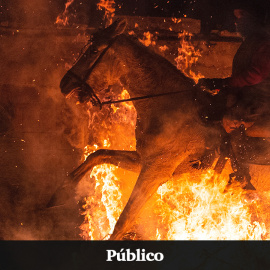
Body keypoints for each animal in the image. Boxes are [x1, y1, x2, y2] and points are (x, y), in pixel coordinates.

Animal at [58, 19, 258, 240]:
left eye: (94, 50)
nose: (64, 83)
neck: (165, 106)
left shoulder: (155, 172)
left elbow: (123, 221)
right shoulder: (142, 160)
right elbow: (98, 155)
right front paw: (60, 194)